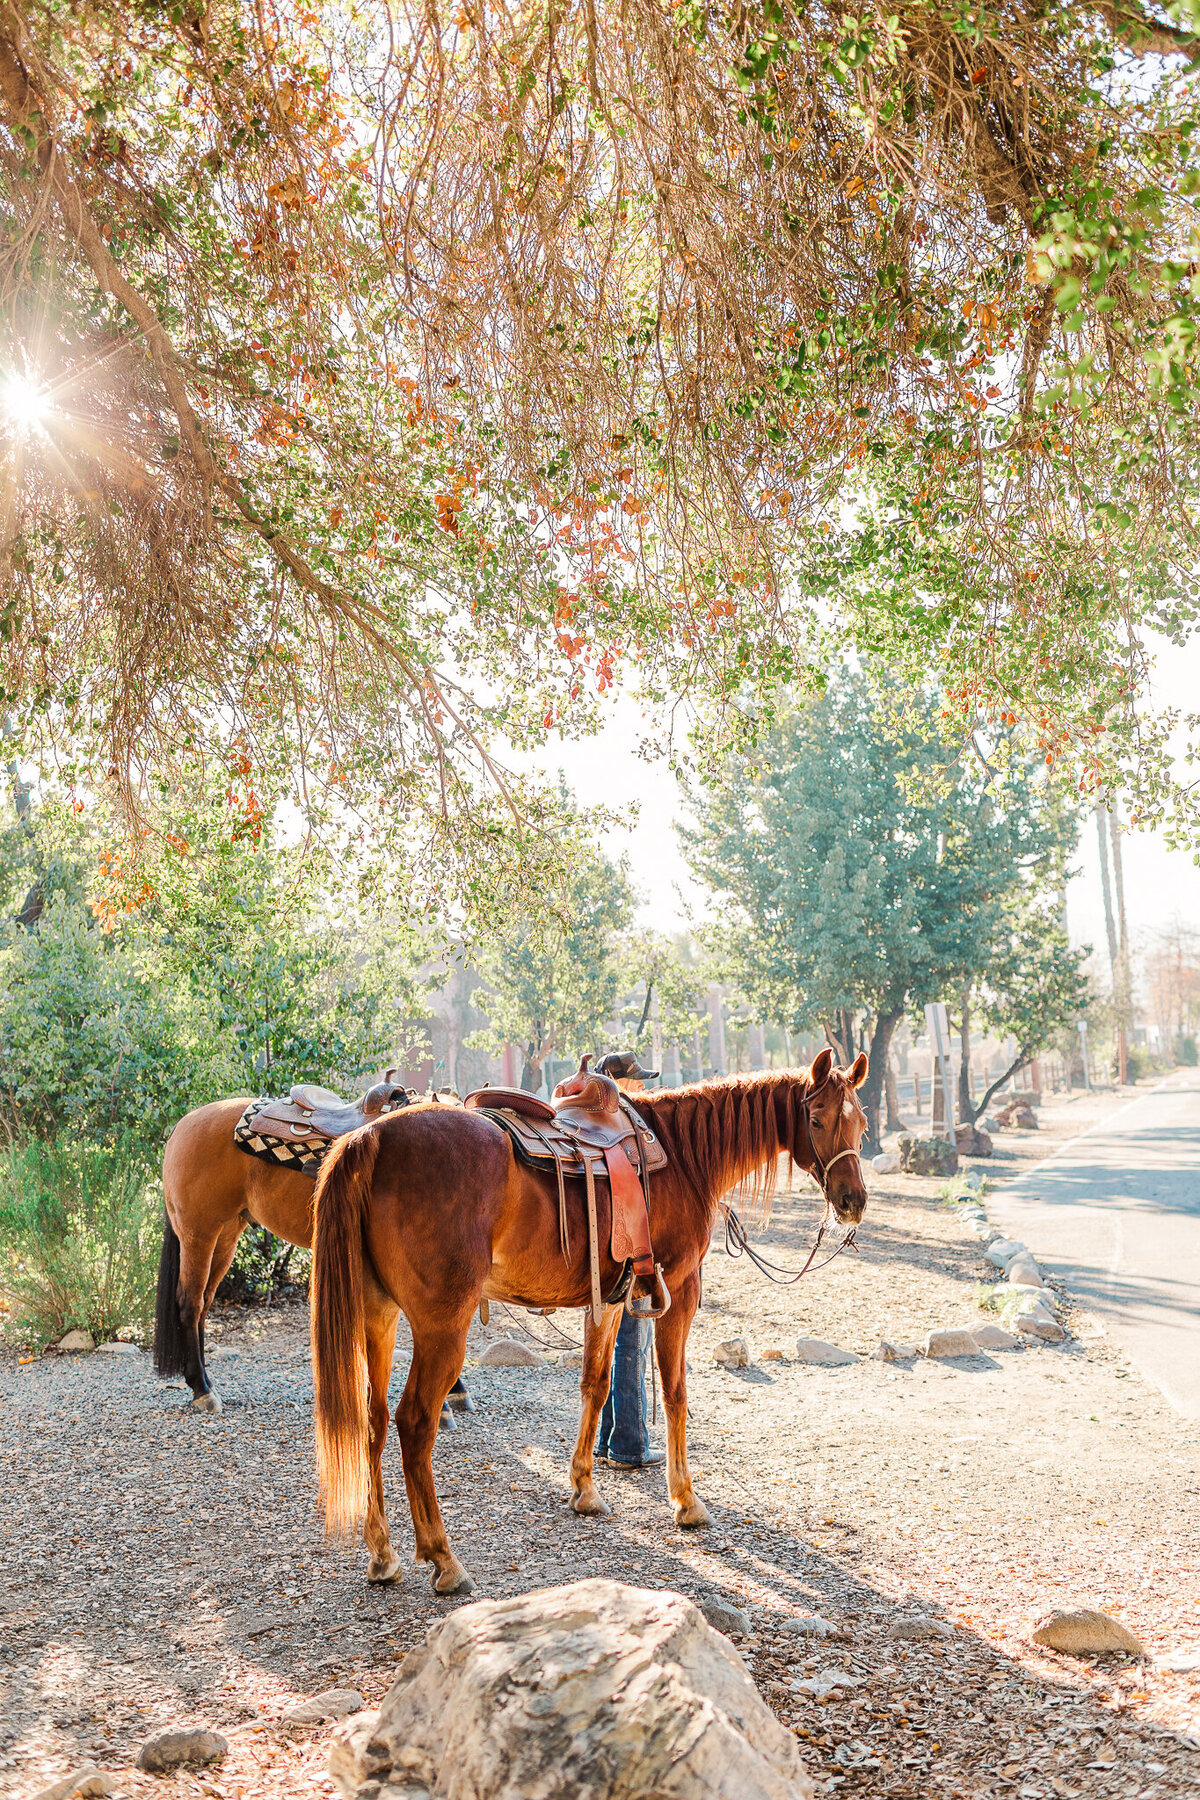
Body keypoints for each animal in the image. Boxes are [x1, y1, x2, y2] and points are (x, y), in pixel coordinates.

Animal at [307, 1051, 874, 1591]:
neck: (683, 1153)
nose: (853, 1201)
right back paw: (443, 1559)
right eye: (817, 1119)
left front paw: (584, 1488)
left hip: (379, 1315)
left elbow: (596, 1386)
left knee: (375, 1420)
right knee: (415, 1422)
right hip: (441, 1326)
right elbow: (675, 1393)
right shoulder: (681, 1290)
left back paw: (383, 1553)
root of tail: (372, 1136)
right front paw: (685, 1499)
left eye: (863, 1122)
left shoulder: (614, 1298)